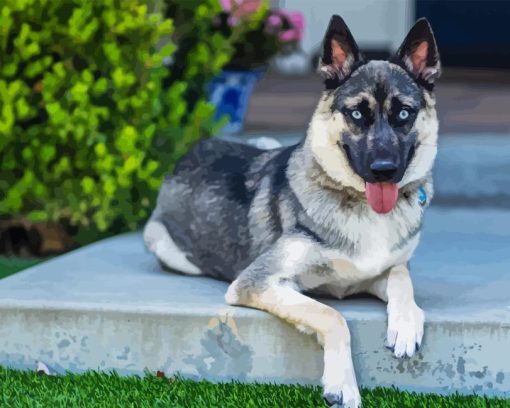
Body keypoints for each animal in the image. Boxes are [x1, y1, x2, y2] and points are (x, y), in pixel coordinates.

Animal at [143, 14, 442, 406]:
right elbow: (331, 315)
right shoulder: (258, 282)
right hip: (163, 242)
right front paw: (343, 385)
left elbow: (401, 278)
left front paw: (406, 323)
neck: (359, 202)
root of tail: (192, 151)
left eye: (404, 113)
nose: (384, 170)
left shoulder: (381, 271)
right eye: (356, 113)